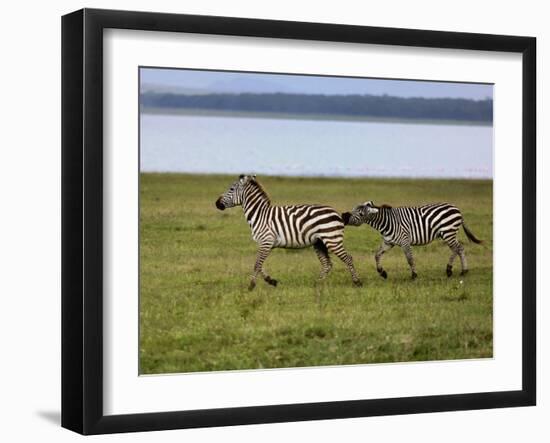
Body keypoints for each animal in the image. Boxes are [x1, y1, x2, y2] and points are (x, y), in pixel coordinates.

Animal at [218, 175, 364, 290]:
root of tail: (336, 213)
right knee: (327, 264)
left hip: (332, 239)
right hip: (319, 242)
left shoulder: (266, 241)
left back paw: (357, 282)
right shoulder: (267, 244)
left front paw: (251, 286)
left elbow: (257, 264)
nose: (216, 203)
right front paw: (271, 281)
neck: (259, 215)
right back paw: (316, 283)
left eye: (231, 189)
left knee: (348, 258)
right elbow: (260, 265)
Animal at [342, 202, 486, 280]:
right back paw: (461, 271)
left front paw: (414, 275)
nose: (344, 216)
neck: (386, 223)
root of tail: (457, 209)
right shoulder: (388, 242)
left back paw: (452, 270)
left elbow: (410, 259)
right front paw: (382, 273)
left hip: (448, 232)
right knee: (459, 248)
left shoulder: (405, 241)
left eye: (360, 213)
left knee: (458, 248)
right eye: (353, 209)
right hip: (448, 234)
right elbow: (377, 255)